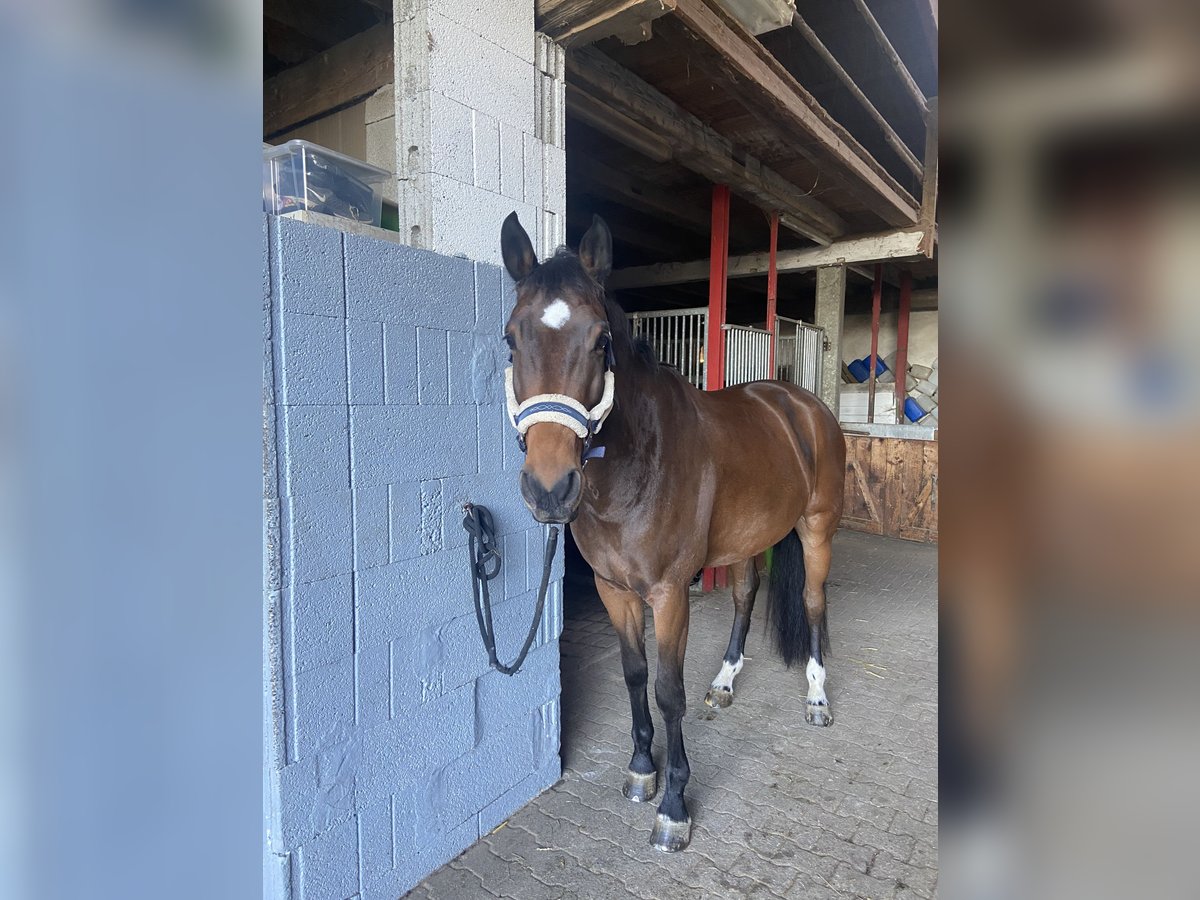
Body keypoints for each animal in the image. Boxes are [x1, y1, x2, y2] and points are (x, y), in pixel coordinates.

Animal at [501, 211, 849, 854]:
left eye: (602, 340)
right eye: (512, 339)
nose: (549, 489)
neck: (638, 464)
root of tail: (799, 402)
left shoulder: (668, 595)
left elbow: (668, 691)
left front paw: (674, 805)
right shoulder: (615, 590)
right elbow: (635, 674)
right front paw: (642, 768)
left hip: (817, 531)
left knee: (814, 603)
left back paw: (816, 697)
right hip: (747, 540)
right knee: (745, 596)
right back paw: (725, 683)